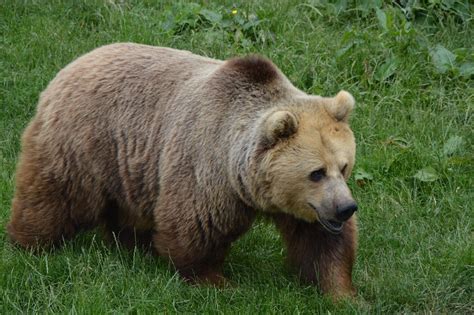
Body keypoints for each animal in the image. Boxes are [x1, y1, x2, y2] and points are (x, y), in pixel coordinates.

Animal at [7, 43, 358, 298]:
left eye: (343, 166)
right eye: (316, 172)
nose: (346, 208)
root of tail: (72, 64)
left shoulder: (301, 207)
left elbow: (321, 243)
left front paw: (342, 293)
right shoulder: (205, 167)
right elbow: (194, 229)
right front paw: (216, 281)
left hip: (131, 167)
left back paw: (131, 245)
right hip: (84, 143)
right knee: (56, 194)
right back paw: (30, 243)